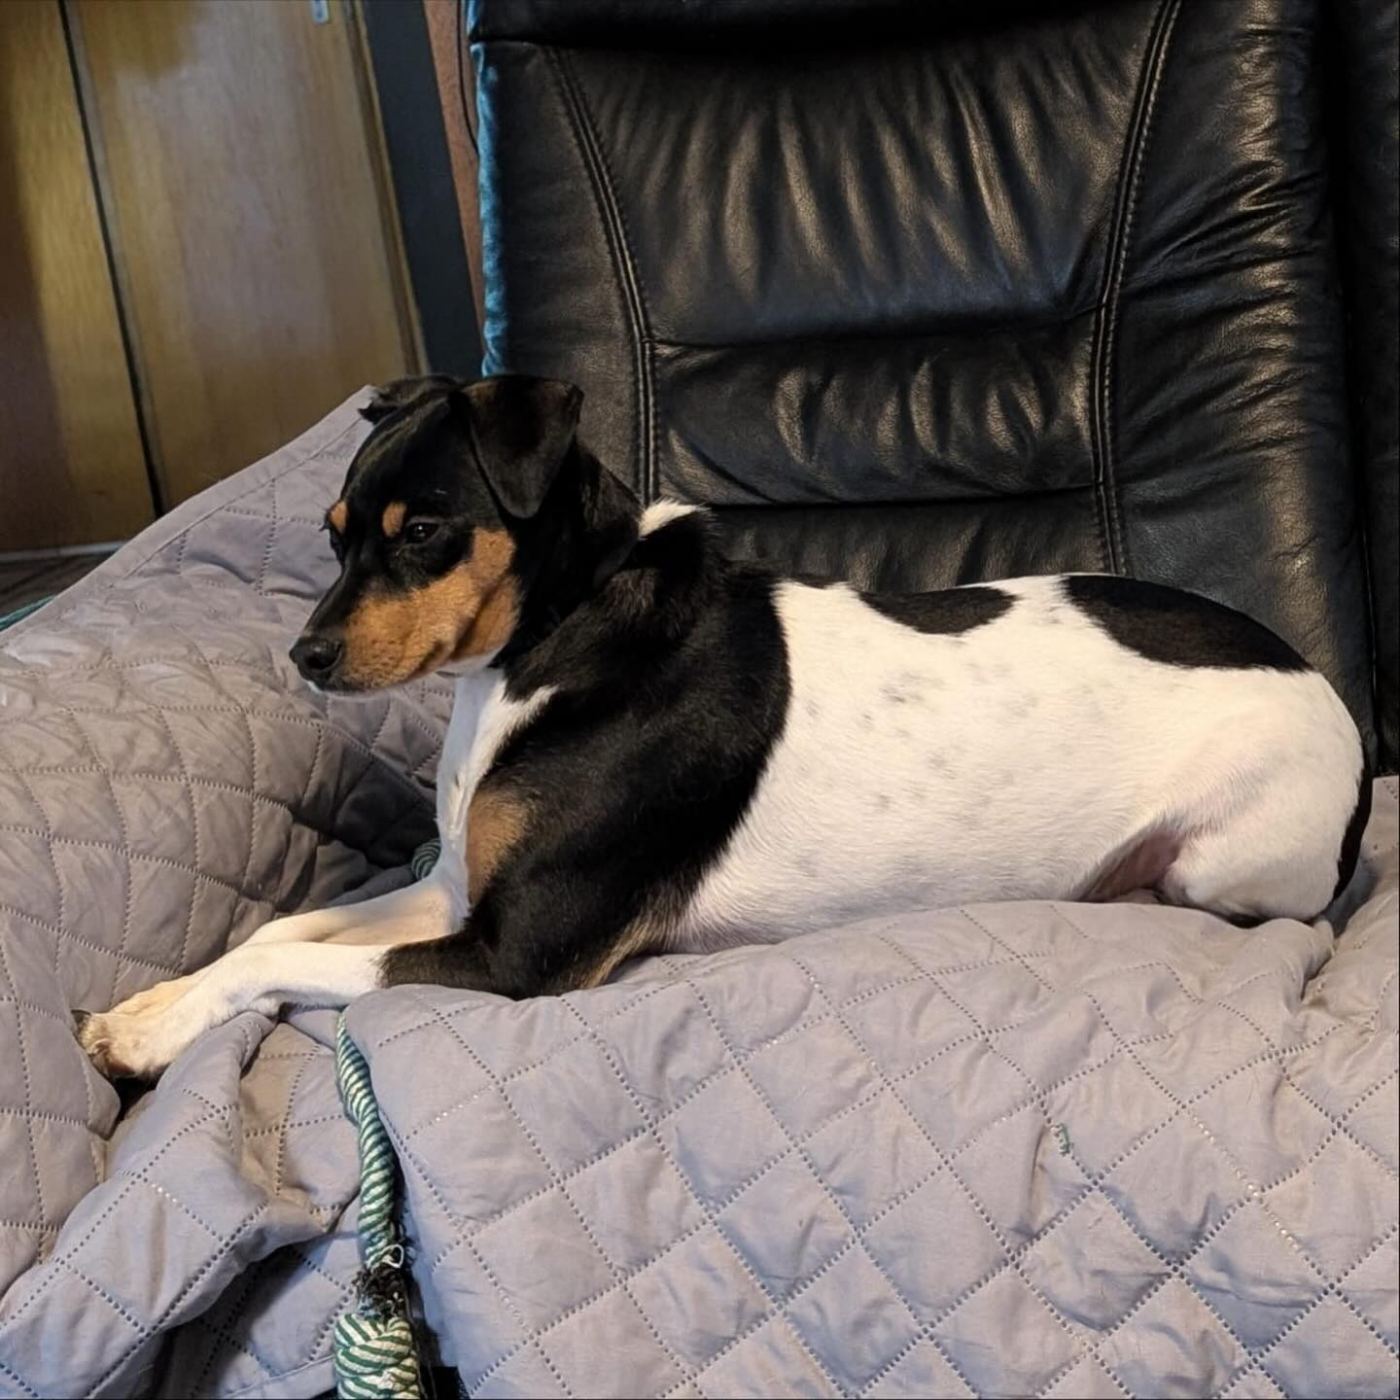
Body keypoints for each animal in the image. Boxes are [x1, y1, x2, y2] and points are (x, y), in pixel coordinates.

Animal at [77, 374, 1371, 1079]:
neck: (564, 631)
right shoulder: (455, 893)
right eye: (335, 533)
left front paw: (149, 1032)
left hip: (1222, 857)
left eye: (422, 532)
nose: (302, 655)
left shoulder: (516, 954)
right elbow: (281, 928)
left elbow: (288, 956)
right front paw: (149, 1010)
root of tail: (1339, 709)